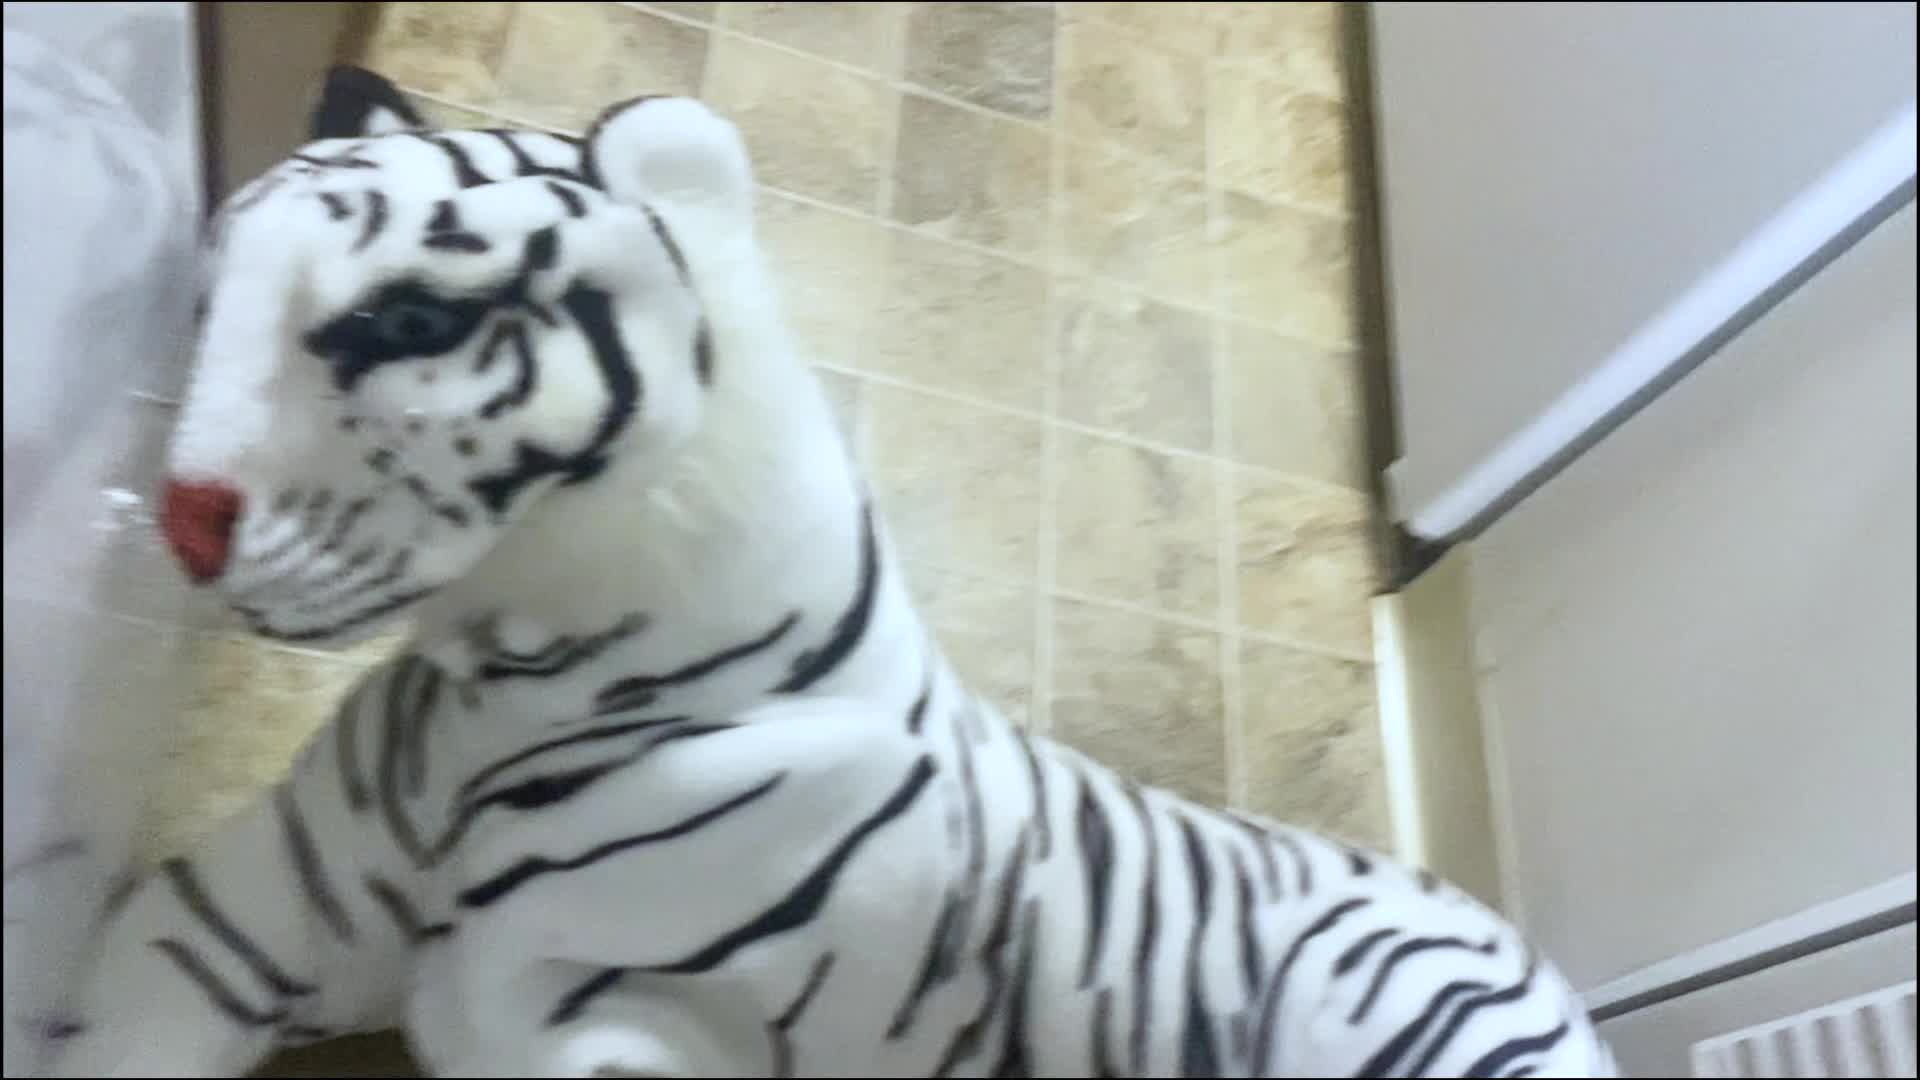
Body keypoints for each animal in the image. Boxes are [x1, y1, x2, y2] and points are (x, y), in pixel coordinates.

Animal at [35, 66, 1617, 1078]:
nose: (176, 522)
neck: (500, 679)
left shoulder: (612, 1039)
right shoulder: (216, 921)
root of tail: (1524, 947)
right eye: (205, 298)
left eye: (408, 320)